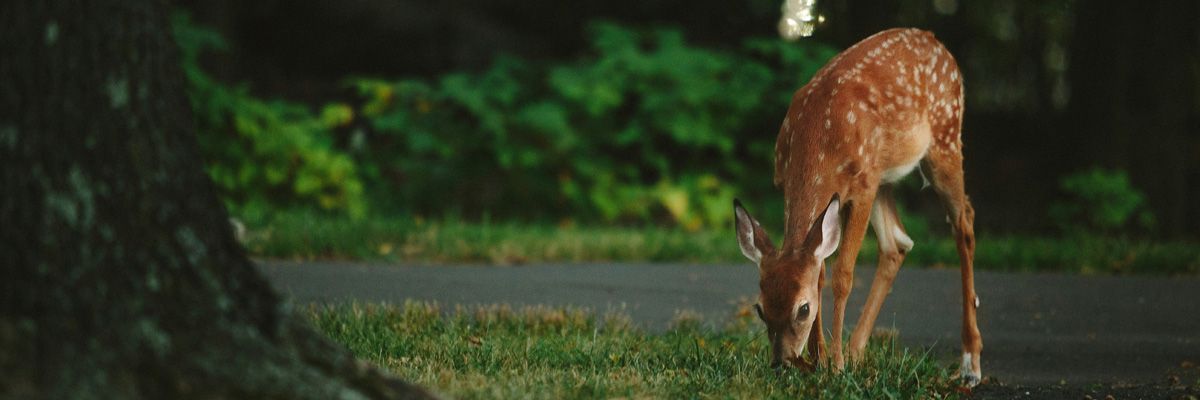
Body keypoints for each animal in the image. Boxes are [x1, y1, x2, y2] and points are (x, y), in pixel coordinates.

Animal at [733, 28, 983, 387]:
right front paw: (820, 360)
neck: (818, 140)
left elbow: (842, 275)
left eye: (803, 309)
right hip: (885, 176)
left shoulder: (862, 188)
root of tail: (936, 41)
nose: (781, 363)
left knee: (964, 223)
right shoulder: (799, 186)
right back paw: (856, 352)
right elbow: (819, 271)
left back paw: (970, 363)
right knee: (897, 243)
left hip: (944, 139)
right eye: (760, 308)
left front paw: (834, 365)